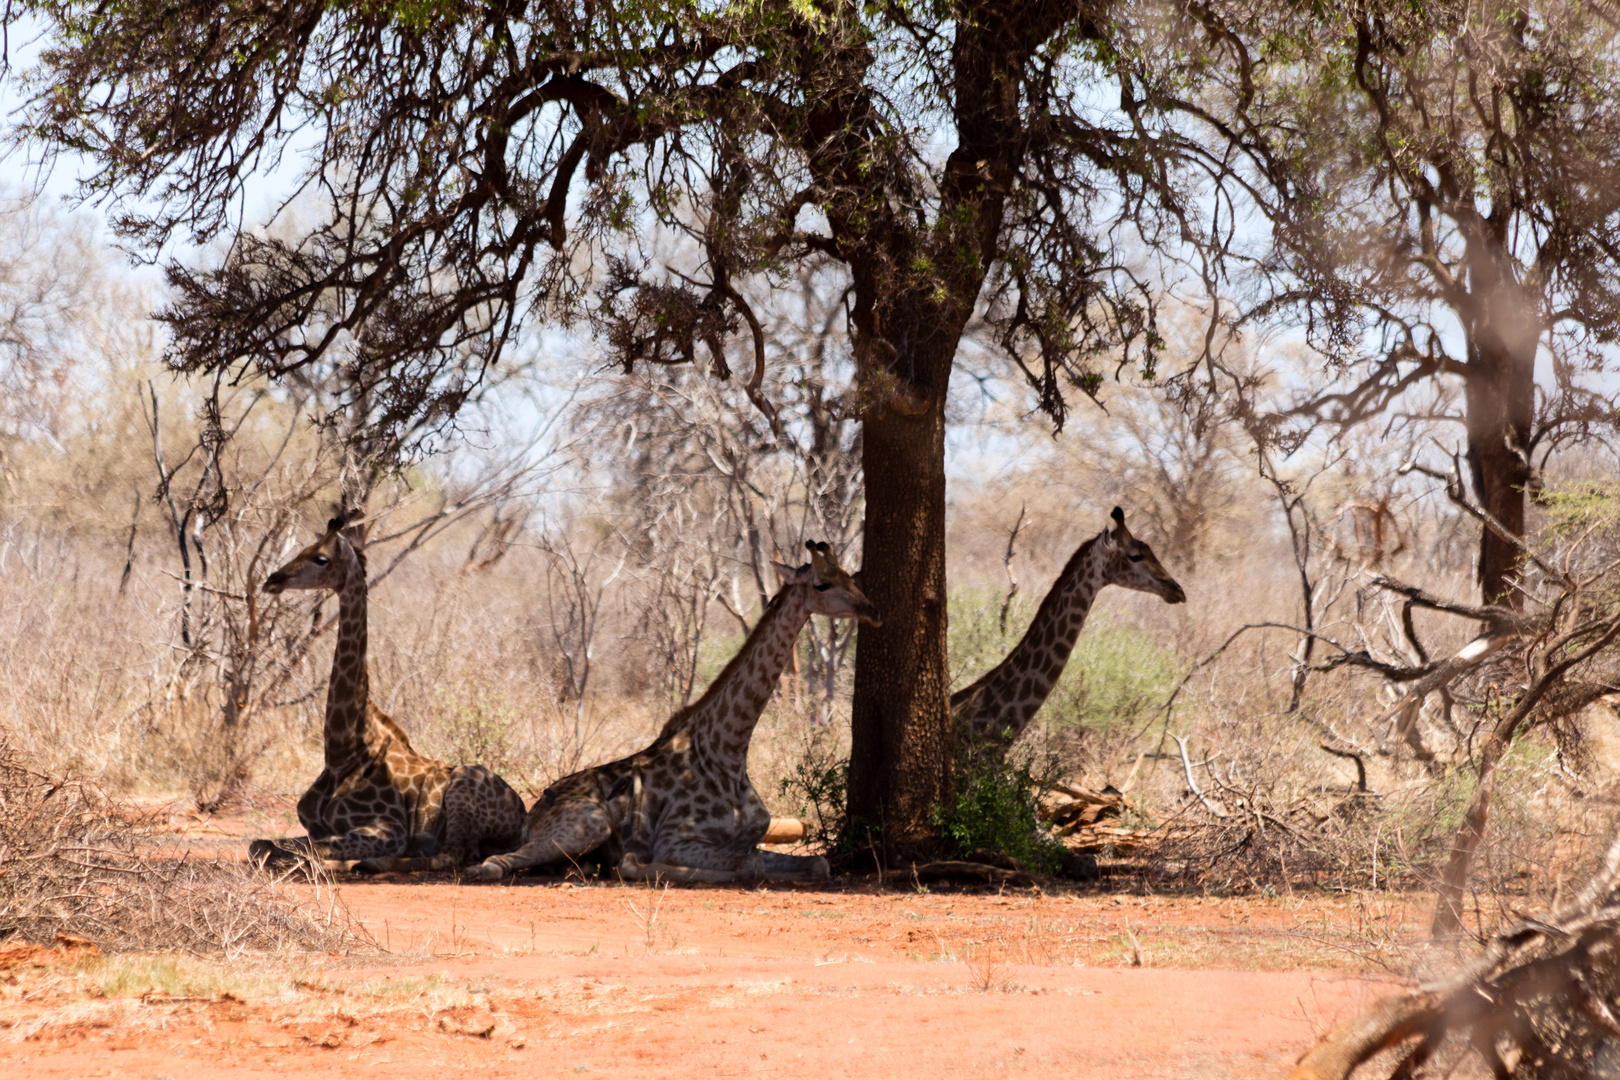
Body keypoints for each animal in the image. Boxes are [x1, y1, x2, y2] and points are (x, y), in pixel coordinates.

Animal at [246, 514, 524, 880]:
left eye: (320, 558)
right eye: (303, 548)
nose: (273, 579)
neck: (342, 751)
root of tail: (522, 815)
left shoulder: (388, 831)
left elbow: (306, 854)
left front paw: (336, 863)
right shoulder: (316, 828)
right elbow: (261, 844)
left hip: (463, 788)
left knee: (452, 855)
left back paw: (370, 863)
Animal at [463, 544, 881, 880]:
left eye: (850, 575)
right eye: (822, 584)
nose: (872, 610)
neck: (730, 750)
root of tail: (533, 813)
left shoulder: (748, 841)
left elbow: (817, 863)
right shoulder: (676, 840)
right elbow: (748, 866)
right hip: (589, 823)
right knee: (496, 863)